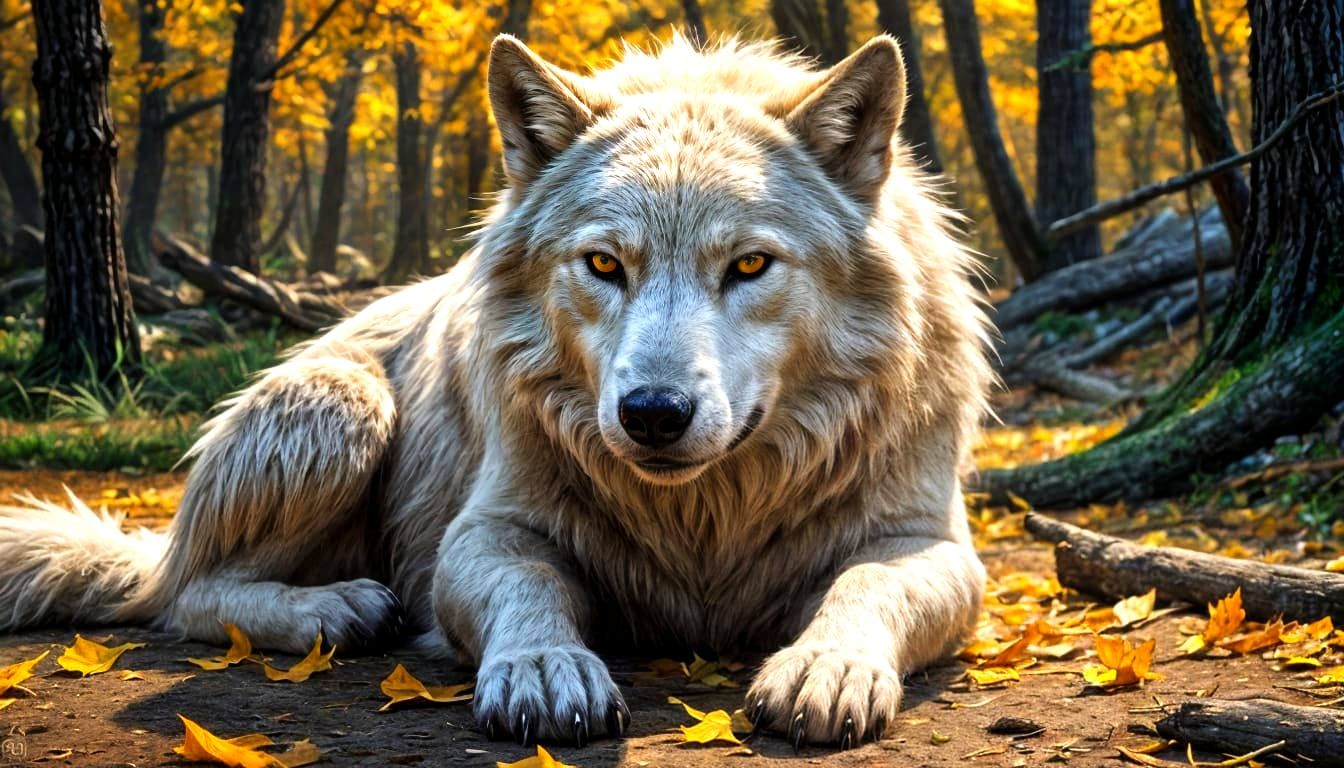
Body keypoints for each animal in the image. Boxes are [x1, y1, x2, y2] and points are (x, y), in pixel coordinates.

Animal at [0, 33, 991, 748]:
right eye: (604, 265)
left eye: (749, 265)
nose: (652, 415)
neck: (707, 519)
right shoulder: (482, 535)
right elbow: (531, 585)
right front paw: (547, 666)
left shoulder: (931, 547)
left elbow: (863, 585)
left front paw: (827, 666)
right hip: (342, 403)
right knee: (183, 597)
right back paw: (332, 608)